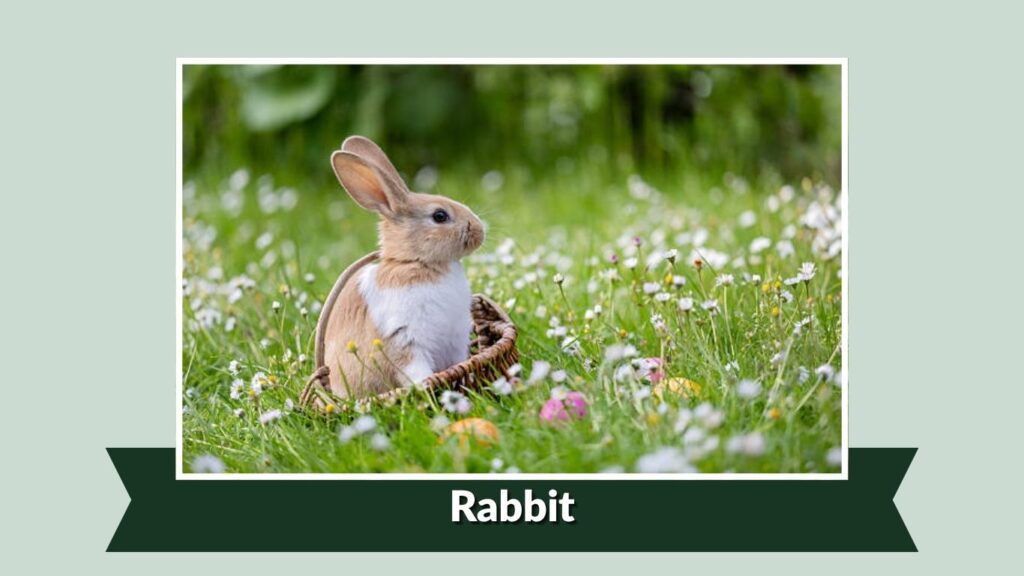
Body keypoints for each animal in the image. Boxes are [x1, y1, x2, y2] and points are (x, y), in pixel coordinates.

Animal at [318, 136, 486, 399]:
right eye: (439, 216)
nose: (480, 231)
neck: (417, 263)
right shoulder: (403, 341)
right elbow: (415, 371)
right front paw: (429, 385)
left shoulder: (455, 342)